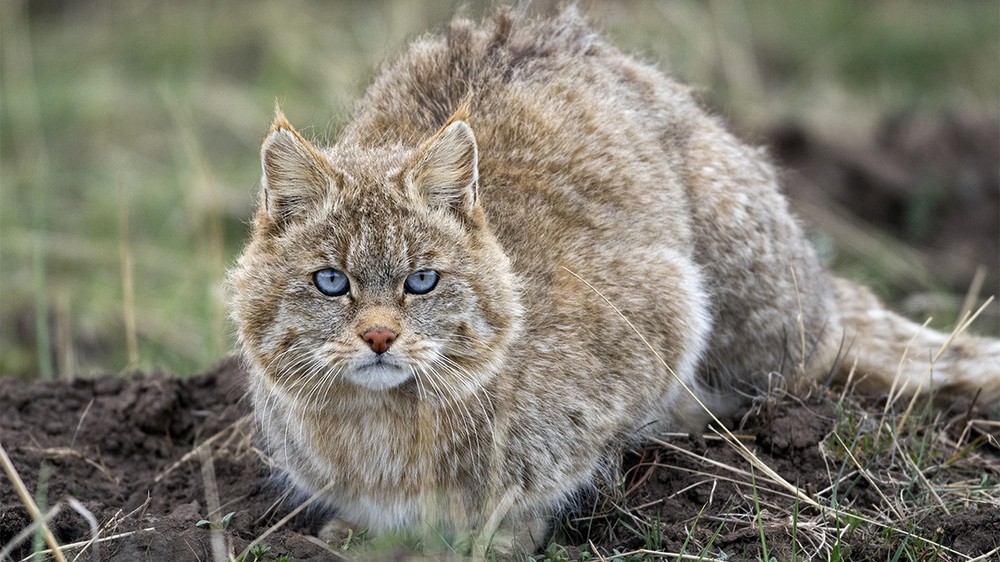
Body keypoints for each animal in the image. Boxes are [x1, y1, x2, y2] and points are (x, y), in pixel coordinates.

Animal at [229, 5, 1000, 552]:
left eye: (423, 281)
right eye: (331, 282)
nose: (381, 338)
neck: (383, 422)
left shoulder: (667, 303)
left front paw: (502, 533)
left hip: (754, 304)